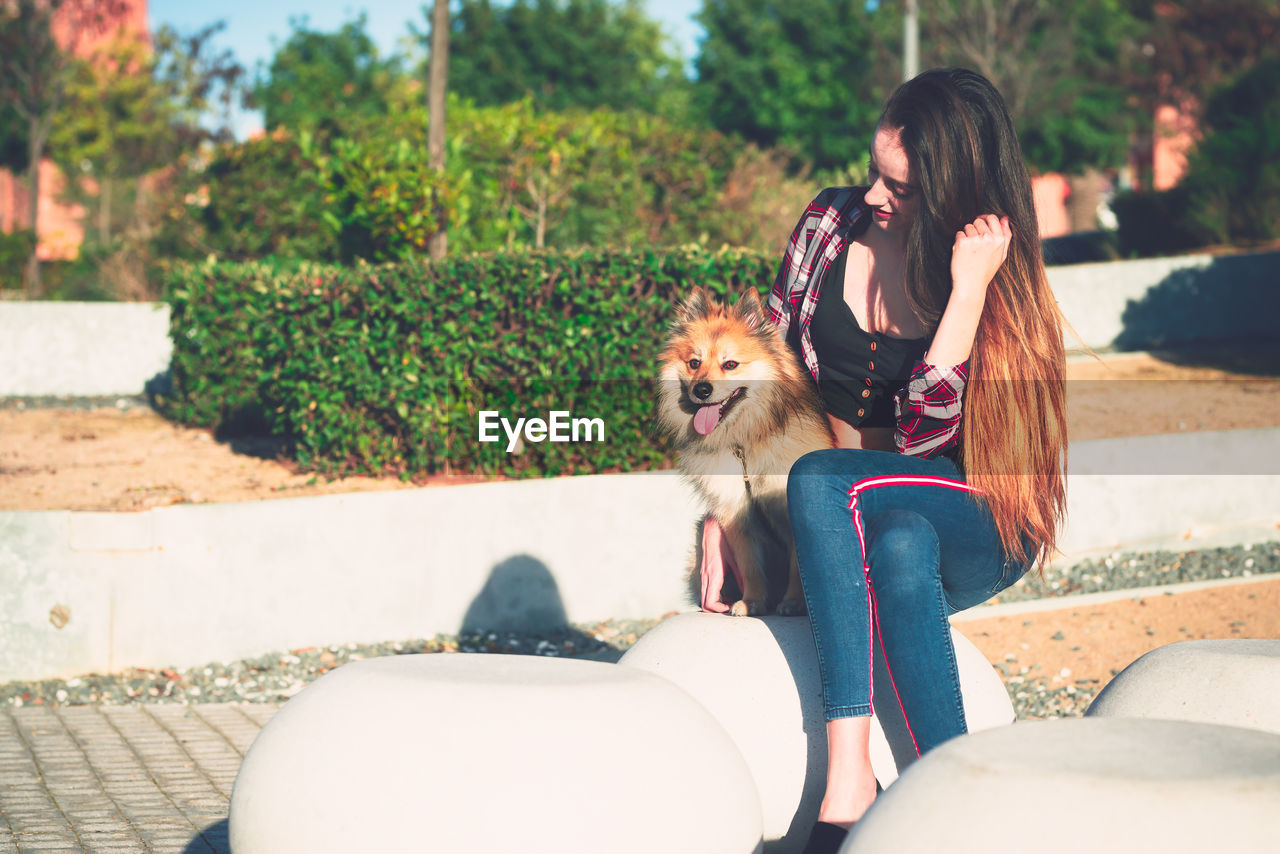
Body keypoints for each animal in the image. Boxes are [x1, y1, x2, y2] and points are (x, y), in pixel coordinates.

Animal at [655, 286, 834, 614]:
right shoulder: (736, 512)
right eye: (694, 363)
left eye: (730, 365)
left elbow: (796, 564)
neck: (744, 449)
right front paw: (752, 602)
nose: (702, 390)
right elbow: (749, 564)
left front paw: (793, 602)